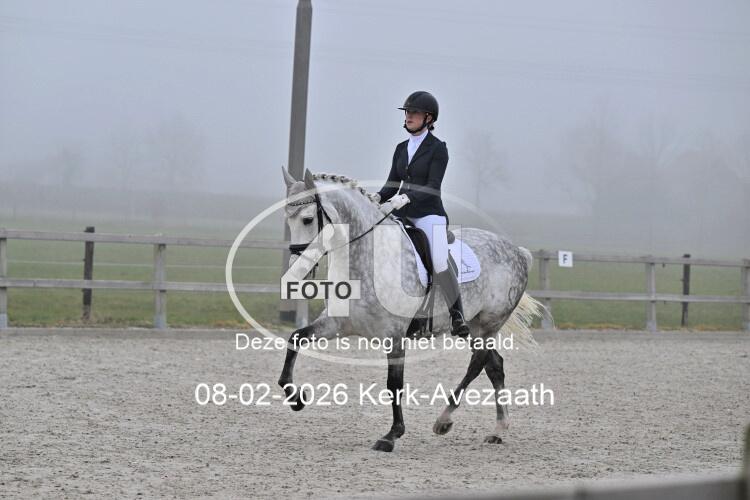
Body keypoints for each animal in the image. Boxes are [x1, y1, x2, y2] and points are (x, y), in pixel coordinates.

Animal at [279, 167, 545, 452]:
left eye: (307, 220)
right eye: (288, 220)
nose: (296, 266)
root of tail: (518, 251)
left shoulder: (394, 335)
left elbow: (394, 384)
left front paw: (391, 435)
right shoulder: (336, 324)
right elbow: (296, 338)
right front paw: (295, 398)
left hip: (487, 324)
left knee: (478, 363)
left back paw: (444, 420)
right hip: (475, 327)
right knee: (494, 366)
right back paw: (497, 429)